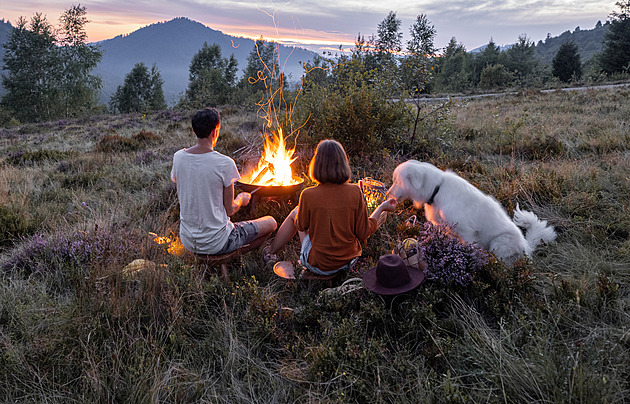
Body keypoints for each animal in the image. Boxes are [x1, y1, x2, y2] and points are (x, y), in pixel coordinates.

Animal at [388, 159, 556, 266]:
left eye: (396, 181)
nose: (387, 193)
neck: (437, 190)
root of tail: (527, 246)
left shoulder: (466, 232)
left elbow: (470, 250)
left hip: (499, 243)